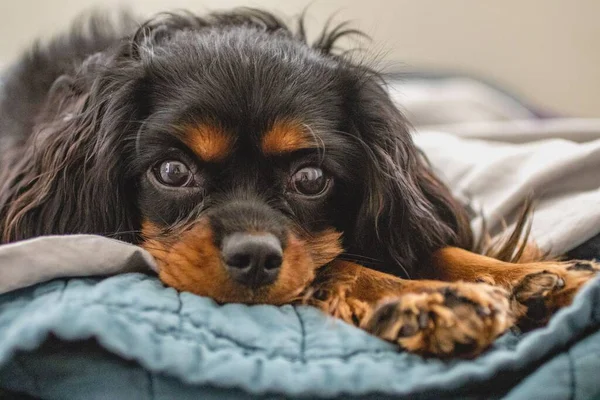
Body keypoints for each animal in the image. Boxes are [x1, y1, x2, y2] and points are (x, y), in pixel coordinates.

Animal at [0, 7, 596, 358]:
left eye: (310, 178)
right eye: (172, 172)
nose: (254, 258)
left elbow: (424, 242)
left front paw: (532, 279)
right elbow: (338, 263)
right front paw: (429, 303)